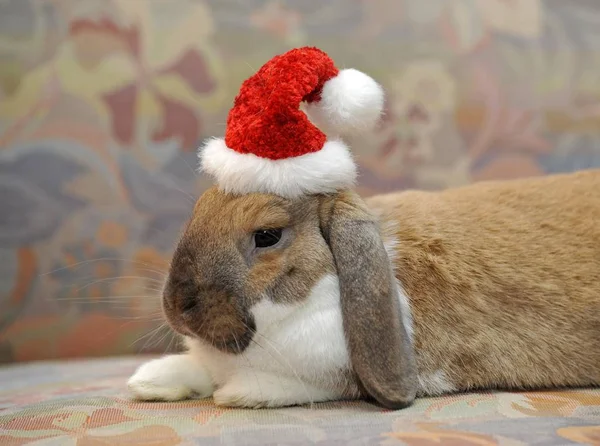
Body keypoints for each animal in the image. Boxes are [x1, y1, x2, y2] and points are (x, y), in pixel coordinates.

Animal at [129, 167, 600, 408]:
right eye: (198, 211)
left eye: (267, 235)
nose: (177, 304)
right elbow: (196, 369)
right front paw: (149, 381)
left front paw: (237, 394)